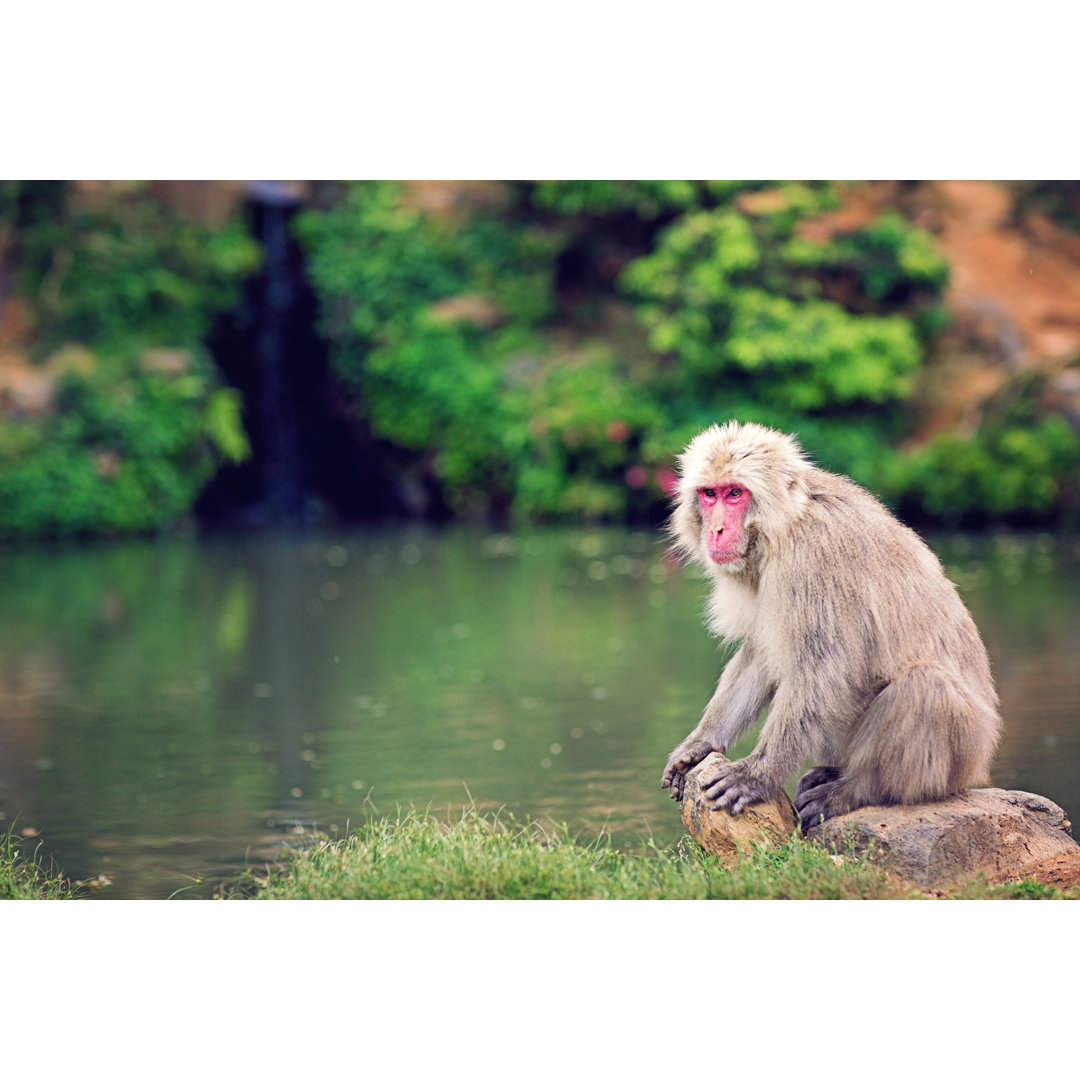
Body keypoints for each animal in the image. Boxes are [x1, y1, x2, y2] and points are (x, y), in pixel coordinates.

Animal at [656, 421, 1002, 825]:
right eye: (710, 494)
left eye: (735, 493)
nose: (717, 531)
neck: (784, 524)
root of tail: (979, 767)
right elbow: (762, 654)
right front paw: (700, 743)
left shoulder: (812, 559)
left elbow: (823, 666)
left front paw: (758, 773)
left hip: (961, 755)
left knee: (925, 685)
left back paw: (855, 789)